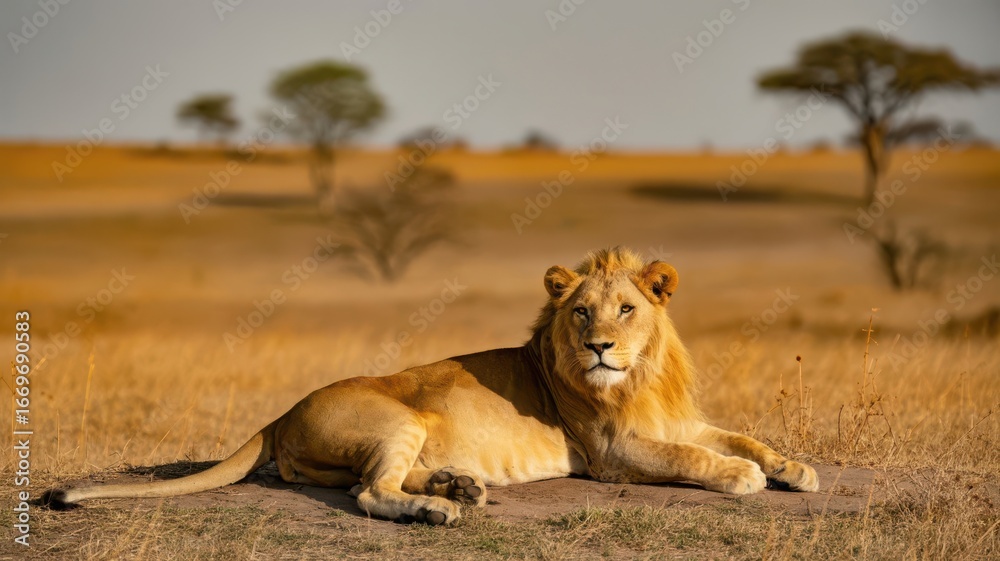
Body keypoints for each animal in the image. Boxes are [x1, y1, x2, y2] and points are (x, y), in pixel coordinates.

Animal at [45, 247, 818, 524]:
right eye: (581, 312)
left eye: (626, 309)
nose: (598, 346)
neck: (642, 376)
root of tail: (282, 412)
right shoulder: (611, 451)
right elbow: (695, 457)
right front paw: (744, 477)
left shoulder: (677, 418)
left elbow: (740, 434)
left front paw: (794, 467)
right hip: (399, 419)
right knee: (369, 492)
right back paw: (439, 509)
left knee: (381, 479)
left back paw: (460, 486)